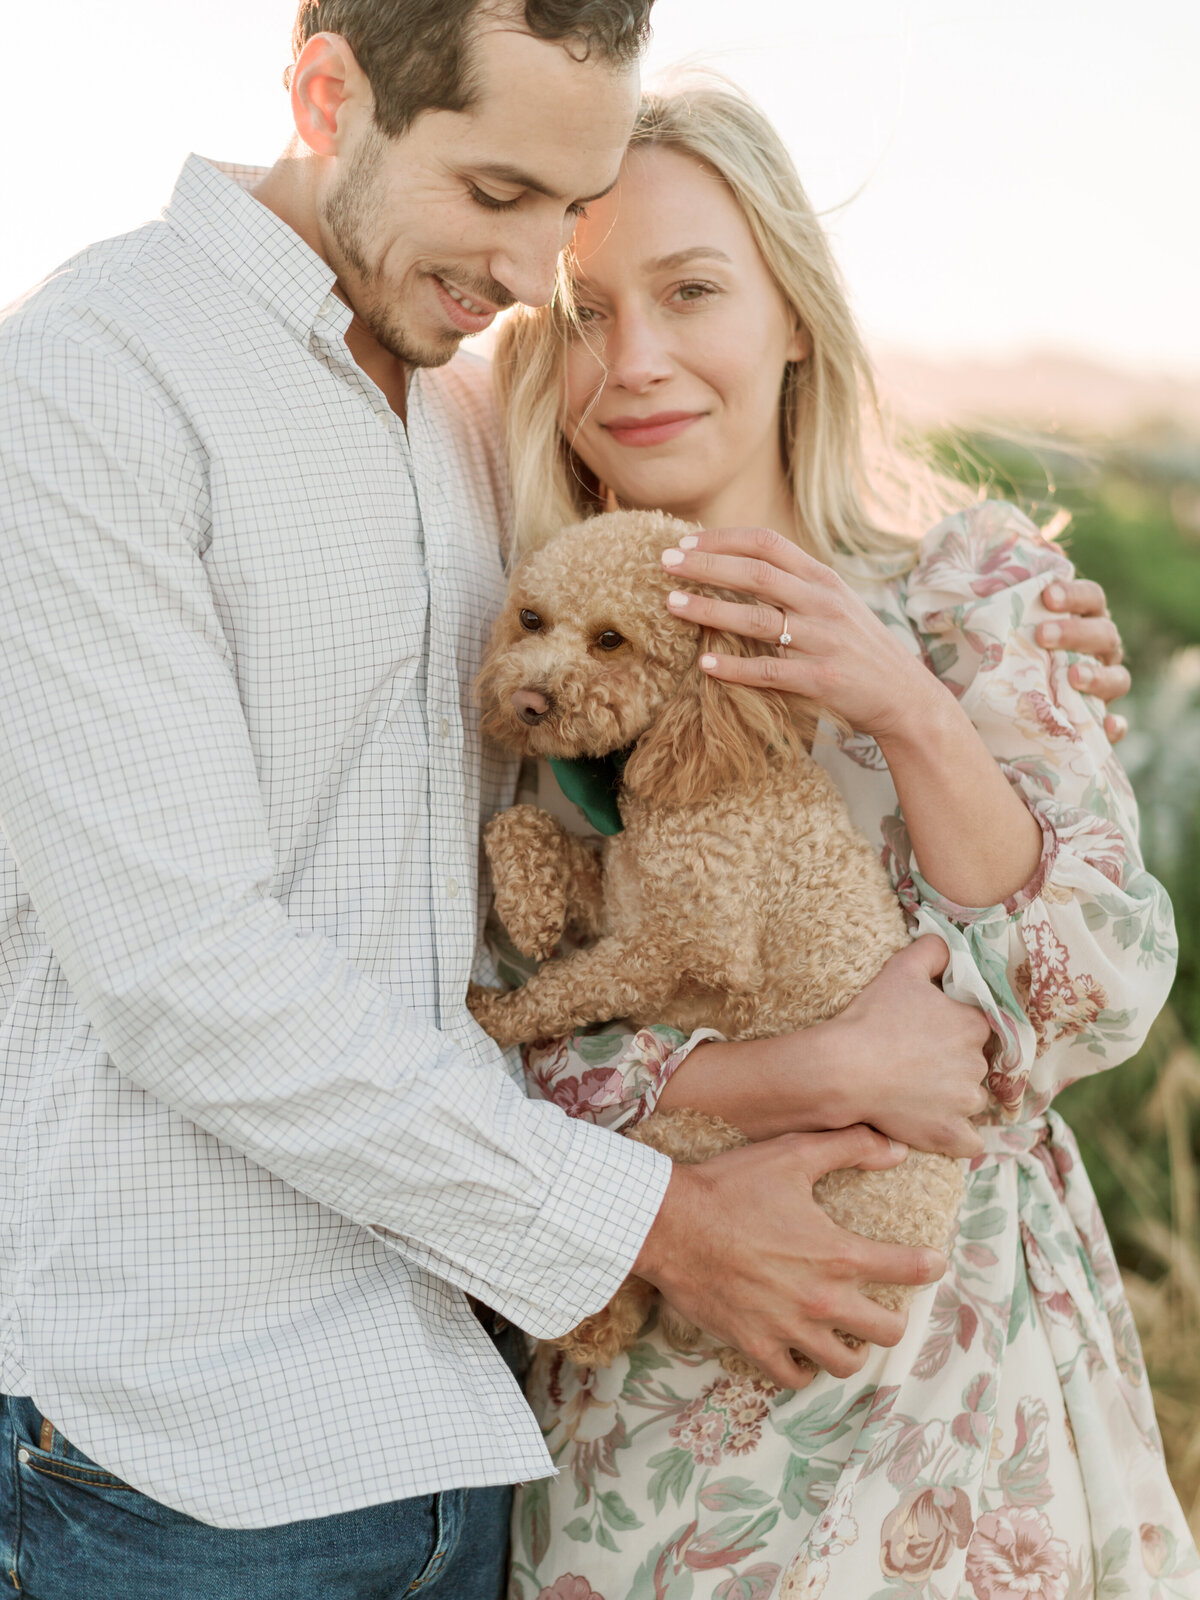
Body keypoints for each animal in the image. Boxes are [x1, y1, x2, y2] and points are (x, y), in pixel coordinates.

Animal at [464, 508, 966, 1376]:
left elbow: (571, 987)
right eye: (530, 620)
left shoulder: (680, 944)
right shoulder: (625, 897)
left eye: (611, 639)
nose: (524, 702)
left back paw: (587, 1324)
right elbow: (519, 824)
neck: (695, 757)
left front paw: (494, 1011)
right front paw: (531, 913)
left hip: (712, 1136)